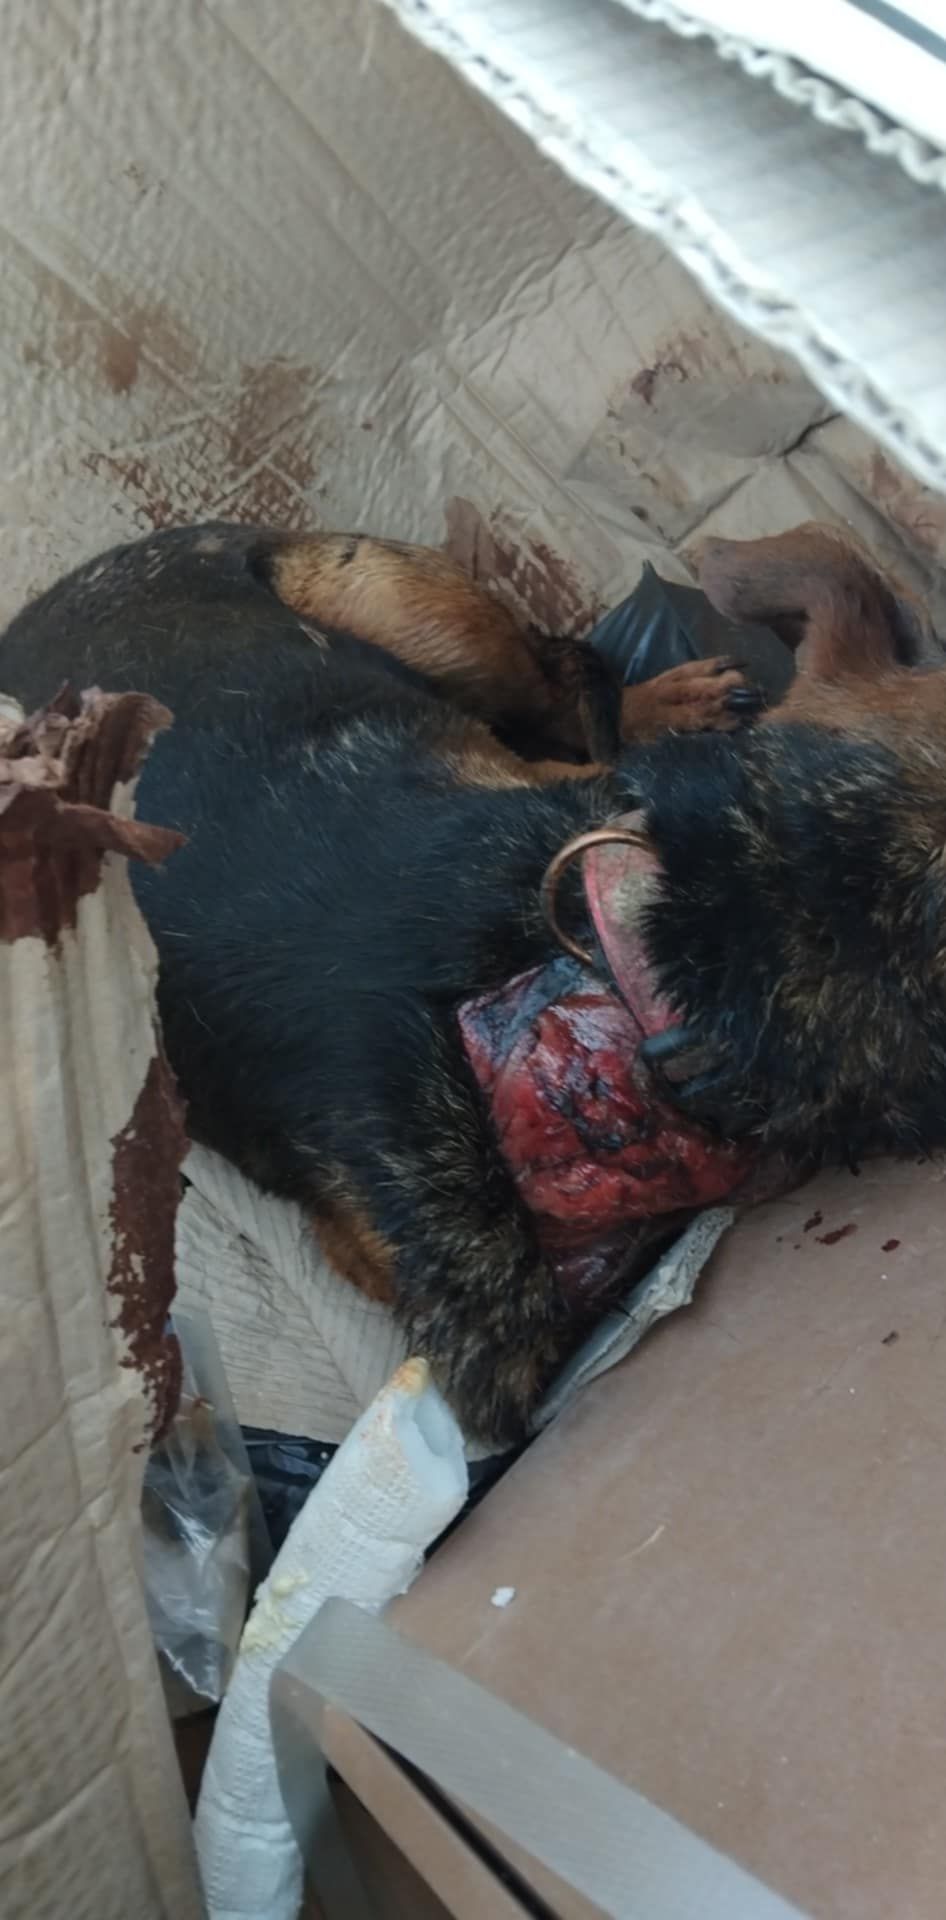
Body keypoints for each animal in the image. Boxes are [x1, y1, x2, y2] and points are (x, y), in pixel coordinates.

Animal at [1, 520, 942, 1446]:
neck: (608, 969)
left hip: (413, 612)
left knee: (560, 687)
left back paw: (663, 705)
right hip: (409, 603)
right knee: (560, 681)